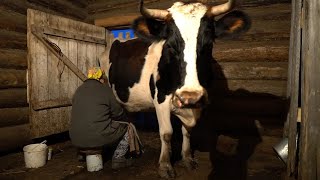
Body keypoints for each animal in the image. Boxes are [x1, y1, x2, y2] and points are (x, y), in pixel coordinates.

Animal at [99, 0, 250, 177]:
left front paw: (187, 158)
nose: (190, 96)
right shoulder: (161, 99)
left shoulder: (196, 104)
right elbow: (167, 133)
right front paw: (165, 166)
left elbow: (187, 131)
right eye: (169, 45)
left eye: (209, 44)